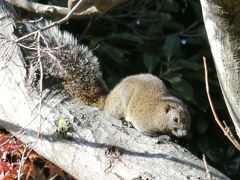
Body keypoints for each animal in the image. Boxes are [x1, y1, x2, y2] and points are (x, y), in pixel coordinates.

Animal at [15, 20, 190, 137]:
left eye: (189, 119)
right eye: (175, 119)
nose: (184, 134)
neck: (158, 112)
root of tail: (107, 101)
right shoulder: (143, 120)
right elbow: (146, 131)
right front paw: (163, 136)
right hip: (121, 103)